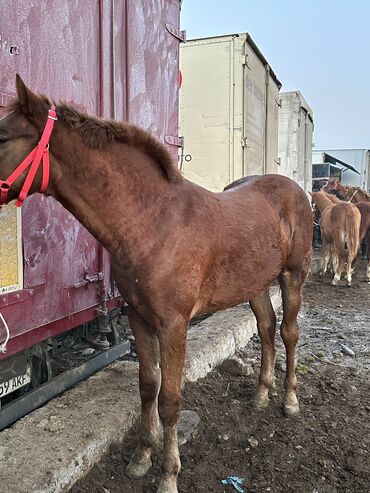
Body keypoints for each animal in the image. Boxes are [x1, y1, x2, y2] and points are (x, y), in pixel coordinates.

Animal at [0, 75, 314, 490]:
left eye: (2, 136)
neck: (153, 222)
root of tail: (294, 189)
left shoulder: (174, 325)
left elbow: (170, 399)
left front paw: (168, 474)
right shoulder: (138, 317)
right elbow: (148, 386)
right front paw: (141, 457)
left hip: (293, 276)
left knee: (289, 332)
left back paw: (290, 400)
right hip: (256, 283)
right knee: (265, 328)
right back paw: (261, 395)